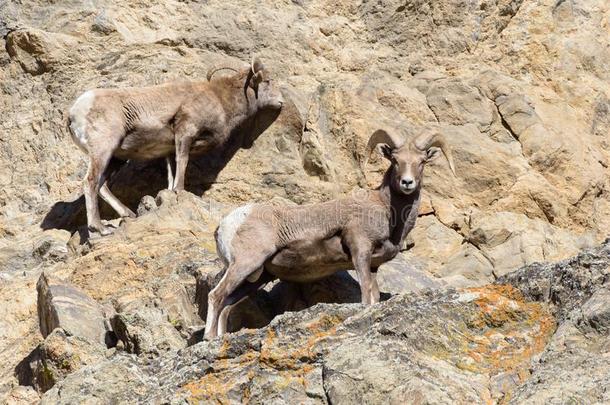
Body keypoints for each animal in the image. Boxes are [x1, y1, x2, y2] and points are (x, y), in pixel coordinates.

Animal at [68, 56, 282, 234]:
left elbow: (171, 174)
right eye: (267, 81)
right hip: (104, 149)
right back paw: (100, 228)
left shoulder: (169, 150)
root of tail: (73, 113)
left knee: (102, 186)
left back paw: (128, 214)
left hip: (116, 157)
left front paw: (170, 193)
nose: (281, 102)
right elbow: (183, 162)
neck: (220, 100)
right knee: (90, 182)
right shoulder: (185, 133)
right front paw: (180, 191)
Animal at [202, 129, 454, 338]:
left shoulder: (373, 265)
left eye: (421, 162)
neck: (387, 210)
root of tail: (226, 224)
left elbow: (374, 295)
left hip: (257, 276)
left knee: (227, 304)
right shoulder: (360, 251)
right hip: (245, 263)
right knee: (216, 296)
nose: (407, 183)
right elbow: (365, 293)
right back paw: (208, 338)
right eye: (395, 160)